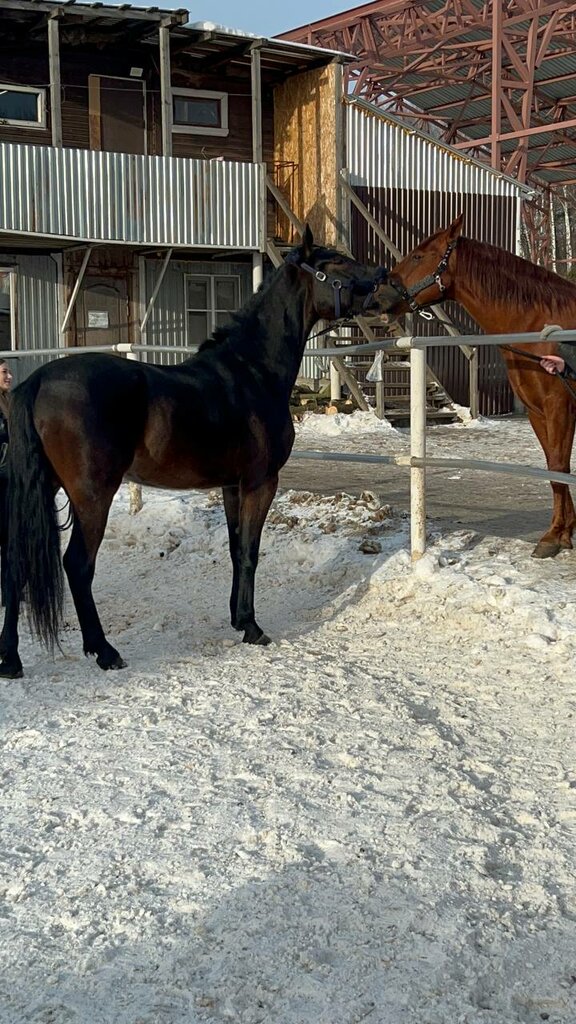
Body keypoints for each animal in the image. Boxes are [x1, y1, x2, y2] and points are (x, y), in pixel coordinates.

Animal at [0, 227, 393, 675]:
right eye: (338, 263)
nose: (385, 281)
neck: (252, 371)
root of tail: (38, 381)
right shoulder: (261, 482)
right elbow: (250, 552)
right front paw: (253, 629)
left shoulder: (231, 486)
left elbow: (236, 548)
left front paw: (238, 618)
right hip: (92, 496)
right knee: (78, 566)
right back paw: (105, 651)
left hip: (42, 488)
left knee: (15, 567)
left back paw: (11, 659)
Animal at [385, 214, 573, 561]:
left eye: (418, 255)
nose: (381, 294)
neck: (538, 326)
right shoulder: (538, 411)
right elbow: (555, 465)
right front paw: (564, 532)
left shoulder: (559, 407)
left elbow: (558, 466)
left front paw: (554, 536)